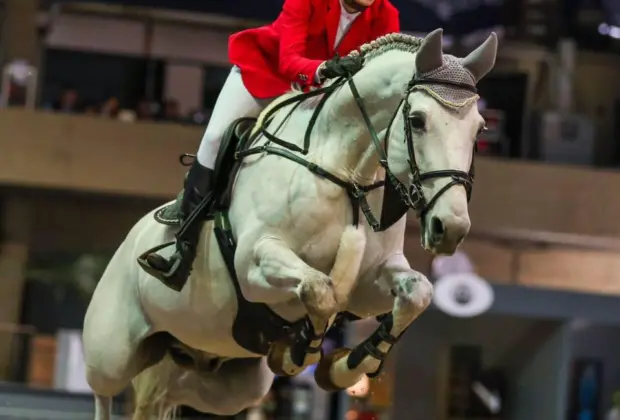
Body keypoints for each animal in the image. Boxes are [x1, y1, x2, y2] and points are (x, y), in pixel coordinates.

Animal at [83, 27, 498, 418]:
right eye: (417, 119)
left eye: (479, 130)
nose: (450, 228)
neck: (347, 174)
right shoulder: (254, 263)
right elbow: (319, 289)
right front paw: (300, 351)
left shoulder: (370, 284)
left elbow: (417, 294)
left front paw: (346, 366)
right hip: (111, 355)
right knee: (104, 394)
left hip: (225, 384)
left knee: (166, 397)